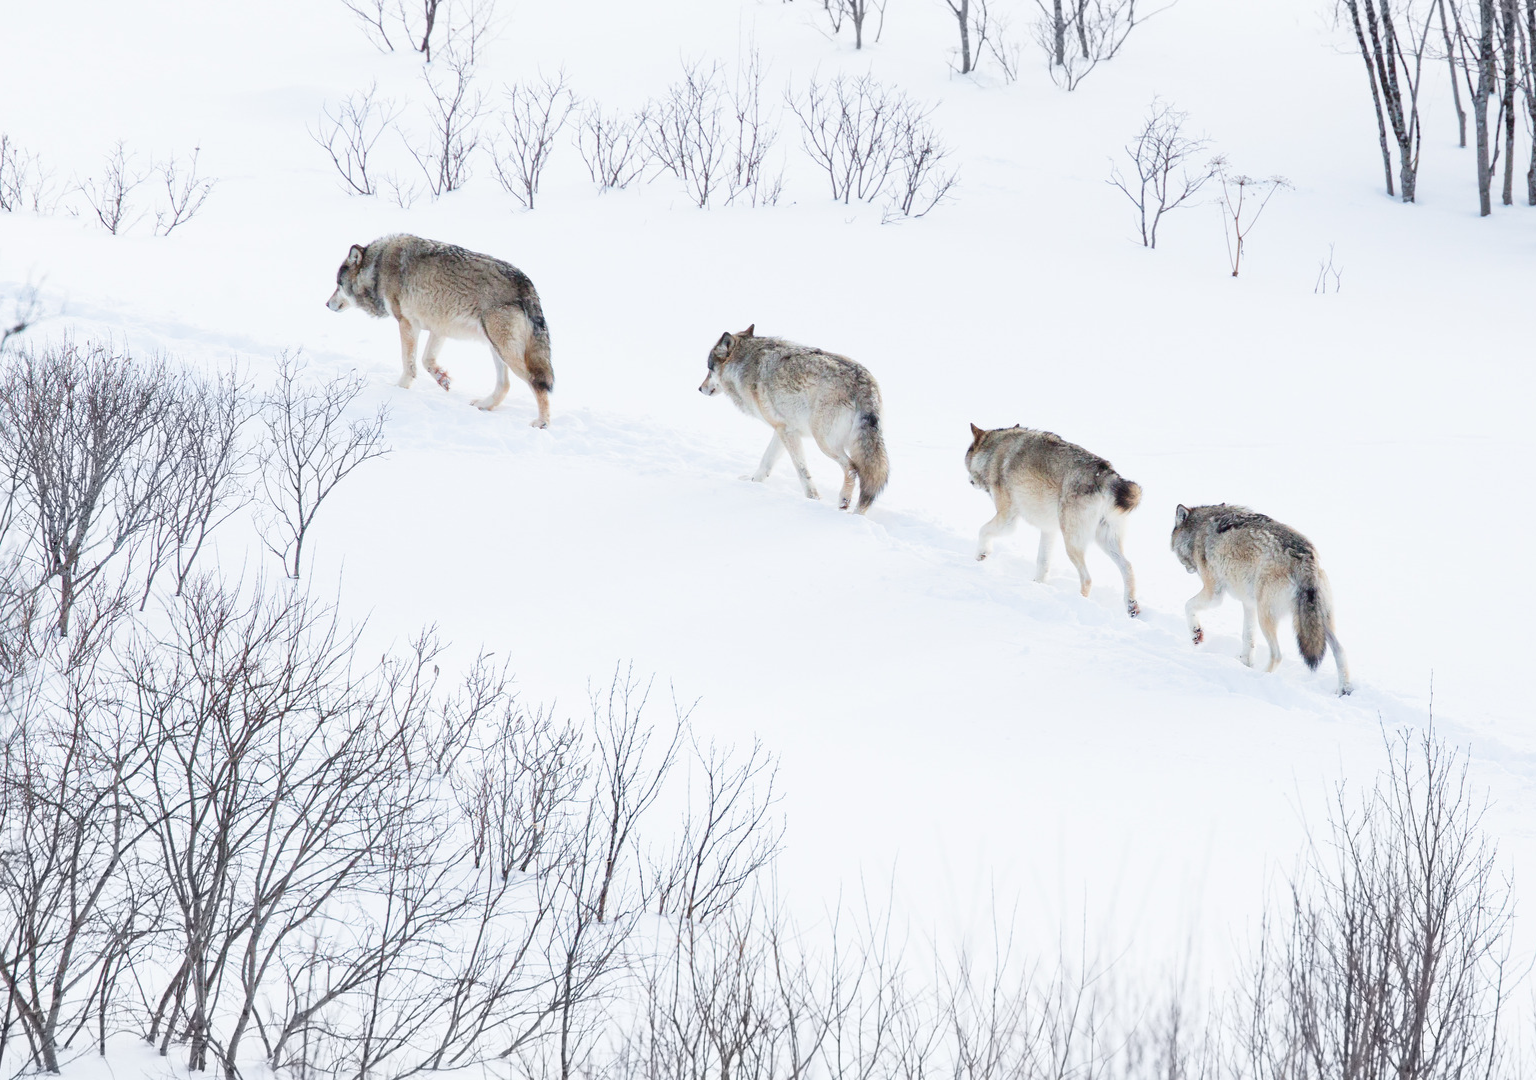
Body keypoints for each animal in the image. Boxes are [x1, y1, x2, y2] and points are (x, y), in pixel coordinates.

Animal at [326, 234, 555, 427]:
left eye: (338, 284)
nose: (327, 304)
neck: (377, 267)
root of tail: (526, 283)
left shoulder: (407, 324)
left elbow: (409, 364)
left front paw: (399, 389)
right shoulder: (439, 328)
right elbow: (426, 361)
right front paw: (441, 378)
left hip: (504, 350)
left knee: (536, 382)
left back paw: (542, 423)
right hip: (495, 348)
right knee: (505, 385)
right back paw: (484, 404)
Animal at [698, 326, 889, 514]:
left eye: (709, 369)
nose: (700, 388)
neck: (745, 365)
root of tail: (864, 383)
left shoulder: (787, 432)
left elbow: (801, 470)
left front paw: (813, 499)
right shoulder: (783, 429)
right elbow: (766, 462)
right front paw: (752, 482)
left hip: (824, 443)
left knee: (852, 468)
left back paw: (844, 503)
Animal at [965, 424, 1142, 617]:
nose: (969, 481)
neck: (992, 452)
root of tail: (1107, 474)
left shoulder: (1007, 519)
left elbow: (982, 530)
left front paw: (980, 555)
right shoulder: (1049, 529)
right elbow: (1043, 562)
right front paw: (1037, 585)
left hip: (1072, 544)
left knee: (1087, 579)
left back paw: (1079, 602)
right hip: (1103, 540)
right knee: (1128, 567)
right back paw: (1131, 606)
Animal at [1170, 504, 1352, 695]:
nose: (1187, 569)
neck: (1198, 530)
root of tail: (1305, 559)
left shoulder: (1215, 594)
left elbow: (1188, 605)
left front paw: (1196, 634)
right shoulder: (1249, 604)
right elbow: (1248, 637)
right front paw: (1244, 662)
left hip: (1266, 616)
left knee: (1277, 655)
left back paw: (1261, 677)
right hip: (1318, 622)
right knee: (1340, 651)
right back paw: (1343, 690)